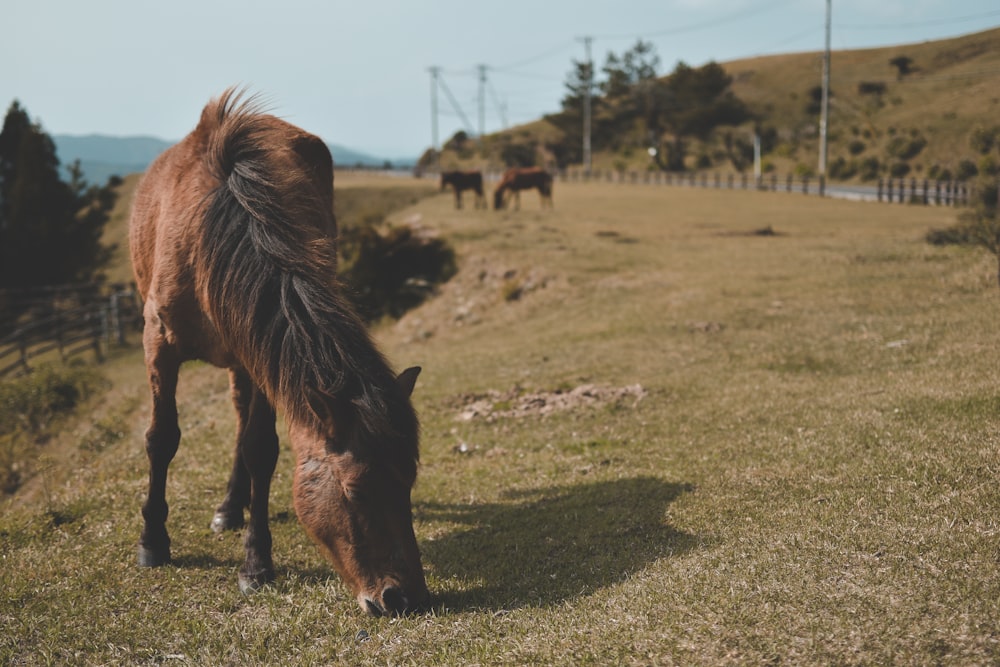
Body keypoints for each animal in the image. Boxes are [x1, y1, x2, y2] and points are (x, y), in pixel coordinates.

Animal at [129, 90, 430, 620]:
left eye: (409, 480)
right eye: (356, 490)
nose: (406, 597)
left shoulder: (258, 354)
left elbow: (260, 450)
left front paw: (255, 562)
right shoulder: (158, 340)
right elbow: (161, 438)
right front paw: (153, 542)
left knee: (240, 422)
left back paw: (232, 506)